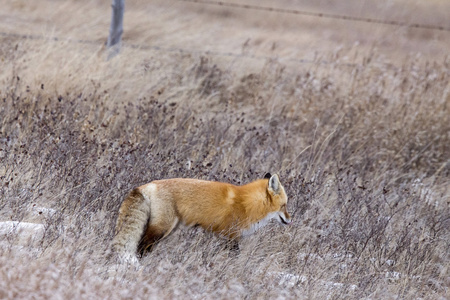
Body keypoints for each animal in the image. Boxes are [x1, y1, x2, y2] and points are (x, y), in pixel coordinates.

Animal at [110, 172, 290, 262]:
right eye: (284, 206)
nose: (290, 220)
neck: (247, 204)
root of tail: (146, 186)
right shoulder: (231, 236)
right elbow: (235, 257)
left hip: (168, 230)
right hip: (161, 229)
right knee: (141, 246)